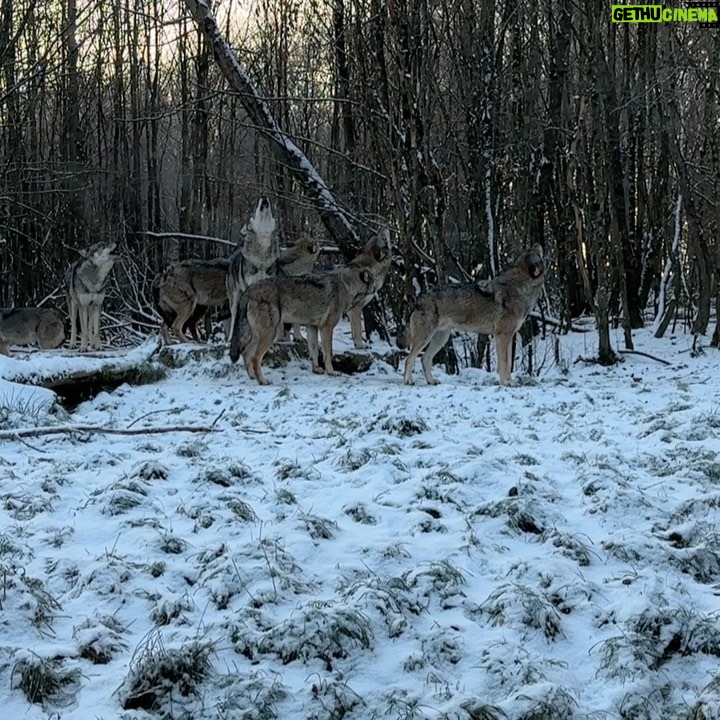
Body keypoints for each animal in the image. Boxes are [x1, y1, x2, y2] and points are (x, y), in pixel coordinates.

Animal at [231, 264, 376, 386]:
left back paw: (252, 377)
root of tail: (249, 290)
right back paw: (262, 381)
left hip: (257, 336)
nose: (376, 291)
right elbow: (328, 354)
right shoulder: (327, 327)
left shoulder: (312, 327)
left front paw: (316, 369)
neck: (347, 285)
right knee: (255, 357)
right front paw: (331, 372)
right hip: (269, 335)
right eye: (374, 282)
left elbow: (314, 350)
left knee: (245, 353)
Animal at [400, 243, 544, 388]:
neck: (520, 287)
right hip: (425, 338)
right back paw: (408, 380)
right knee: (408, 358)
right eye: (539, 257)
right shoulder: (502, 336)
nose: (538, 245)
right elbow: (504, 364)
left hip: (441, 339)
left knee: (425, 358)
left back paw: (431, 381)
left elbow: (508, 364)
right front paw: (506, 383)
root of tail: (420, 298)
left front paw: (510, 382)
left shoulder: (509, 336)